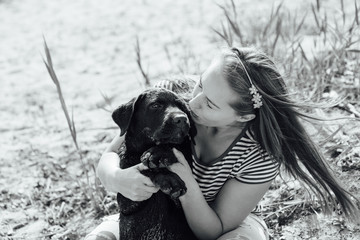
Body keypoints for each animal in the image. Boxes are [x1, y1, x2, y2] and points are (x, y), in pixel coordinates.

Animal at [112, 88, 197, 240]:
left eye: (181, 107)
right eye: (155, 105)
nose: (182, 119)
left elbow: (168, 146)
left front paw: (158, 153)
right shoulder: (126, 202)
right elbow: (144, 170)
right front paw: (170, 179)